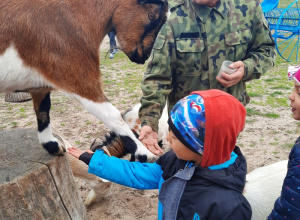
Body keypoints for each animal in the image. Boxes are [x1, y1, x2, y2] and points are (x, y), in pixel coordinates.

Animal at [0, 0, 168, 162]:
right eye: (151, 15)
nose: (144, 56)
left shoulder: (40, 85)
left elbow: (43, 110)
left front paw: (52, 146)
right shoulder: (79, 78)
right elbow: (112, 115)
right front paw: (145, 153)